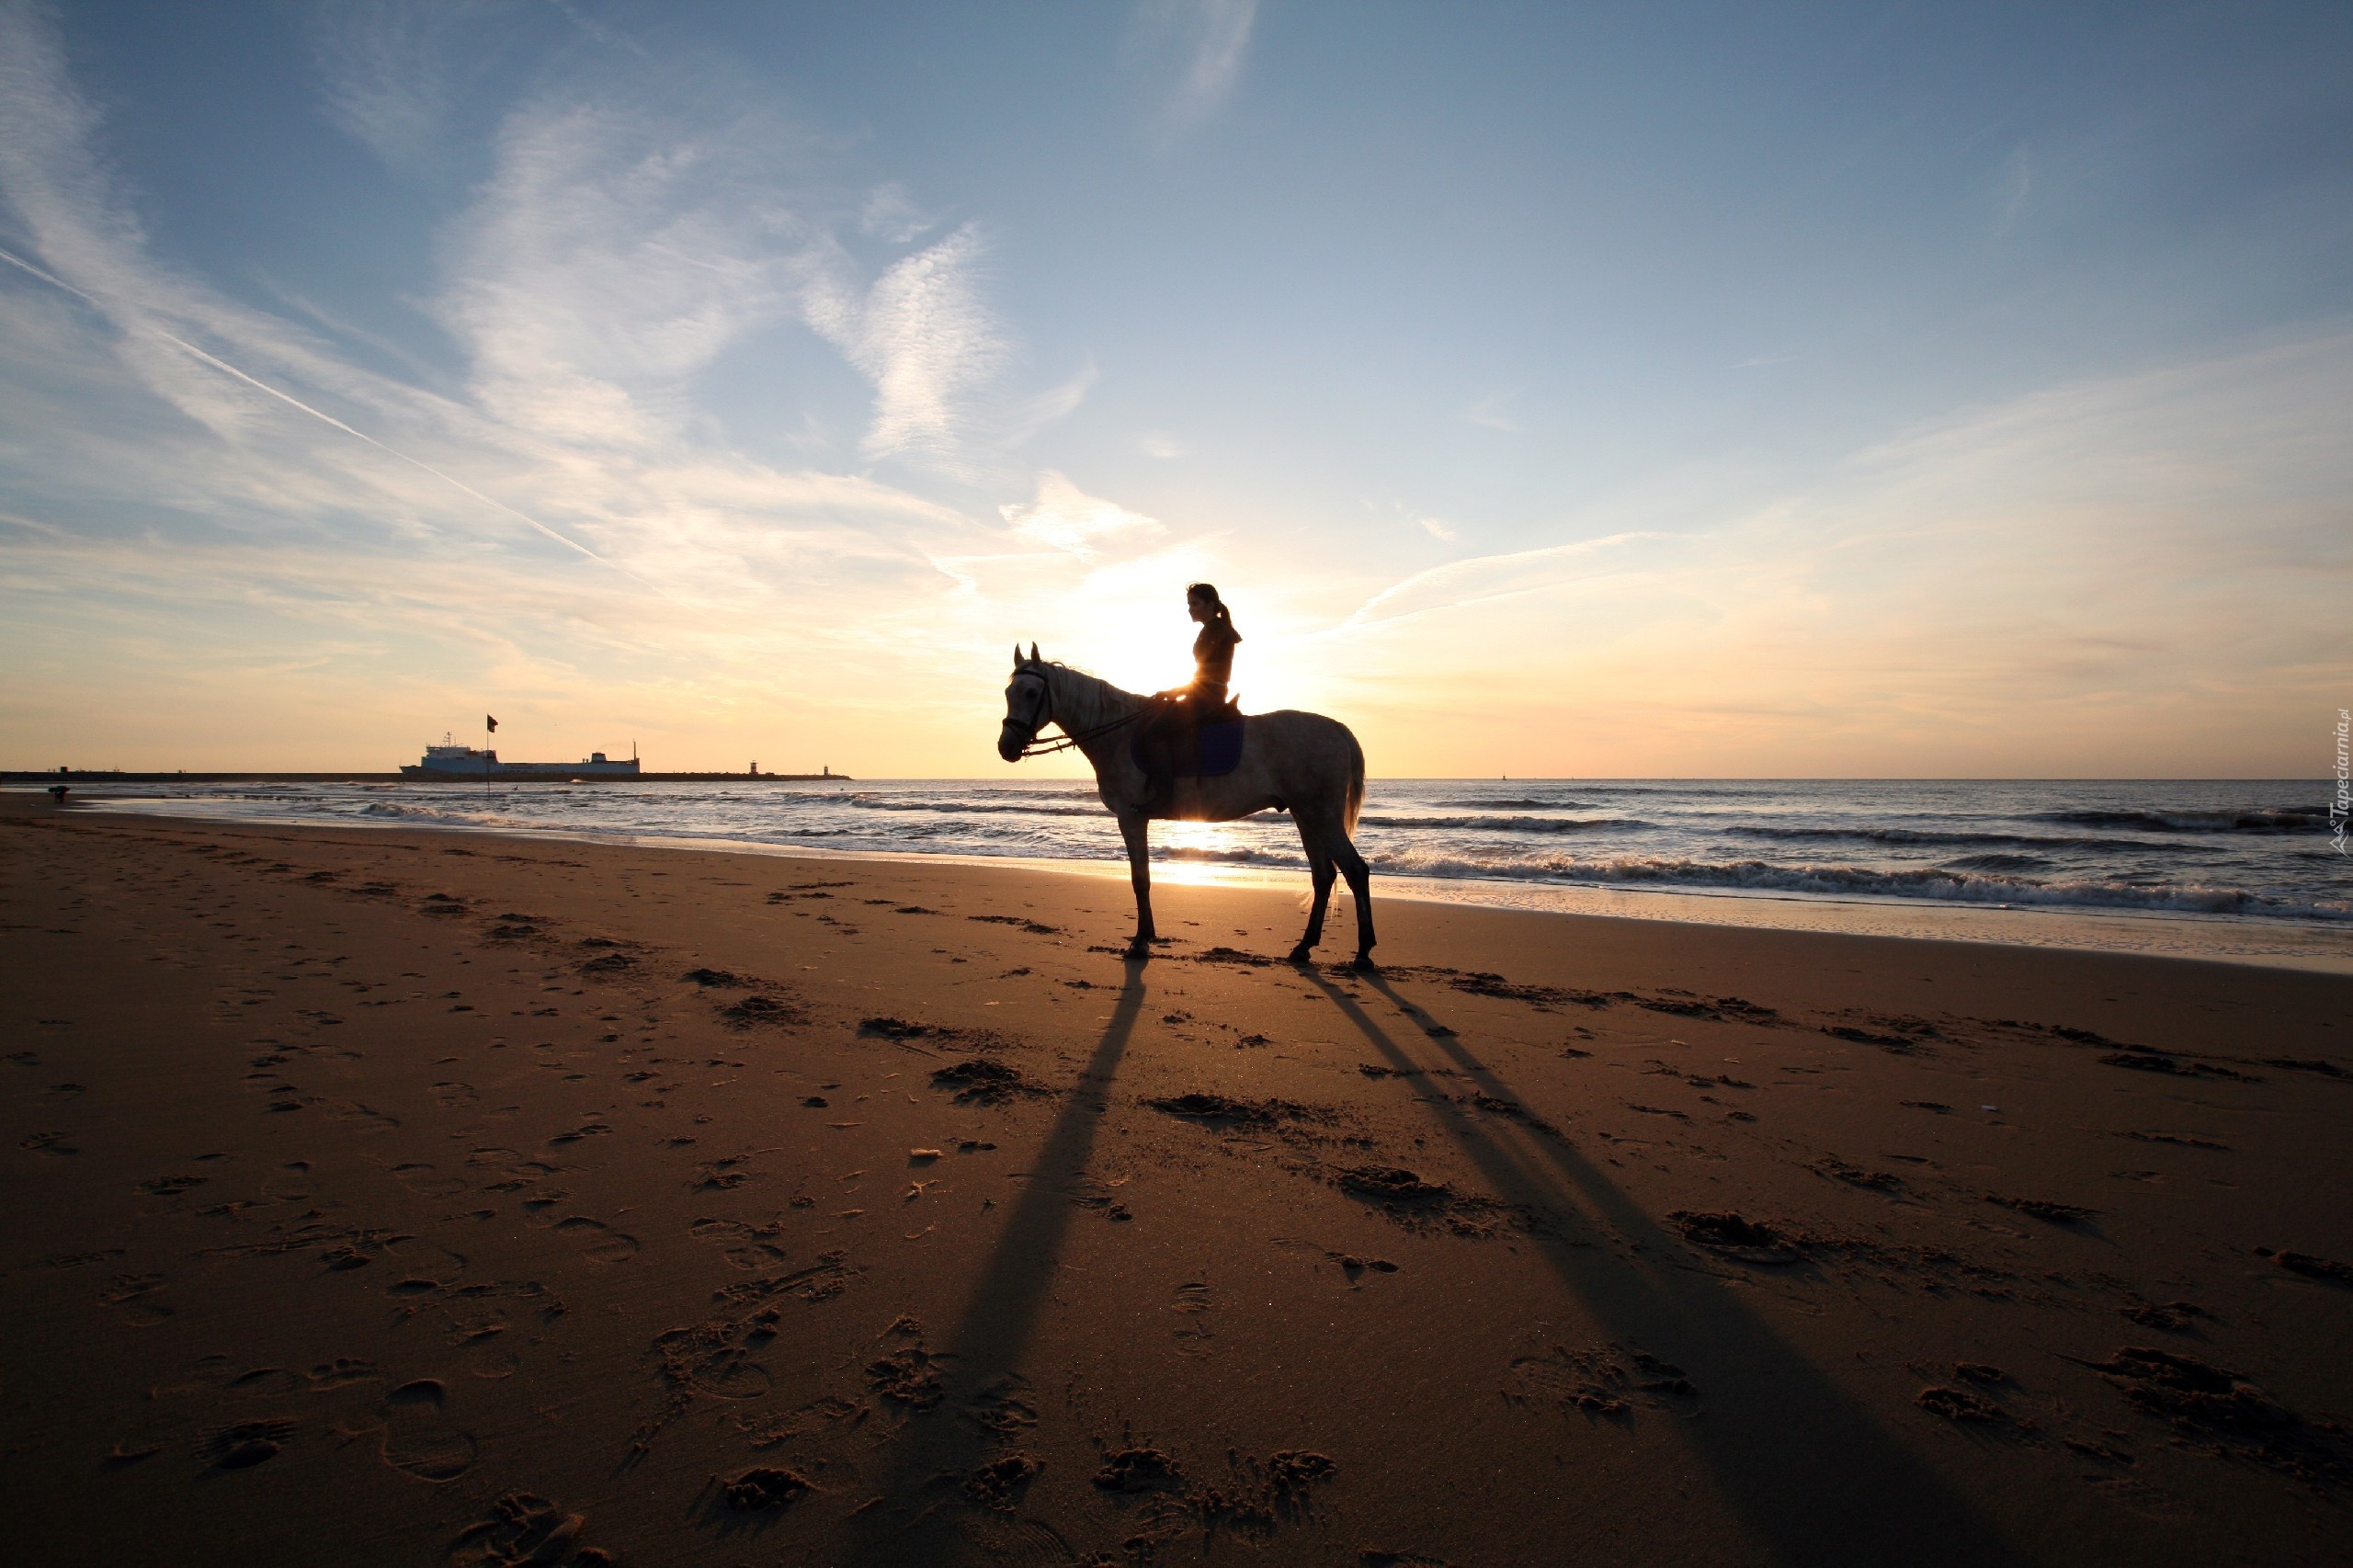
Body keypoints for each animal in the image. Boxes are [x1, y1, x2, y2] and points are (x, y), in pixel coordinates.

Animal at [997, 640, 1374, 960]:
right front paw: (1146, 935)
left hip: (1321, 815)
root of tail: (1336, 728)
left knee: (1355, 870)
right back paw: (1304, 948)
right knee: (1323, 876)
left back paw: (1363, 953)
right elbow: (1143, 878)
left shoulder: (1131, 817)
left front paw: (1140, 941)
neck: (1118, 733)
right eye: (1008, 692)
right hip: (1305, 816)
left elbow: (1140, 879)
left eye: (1031, 692)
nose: (1006, 747)